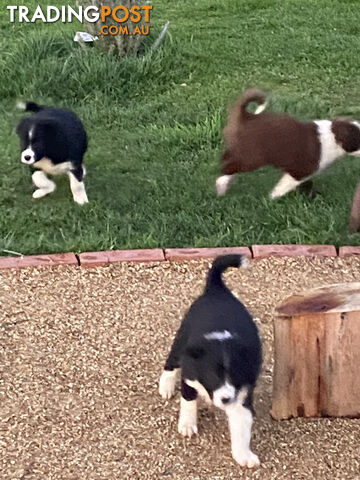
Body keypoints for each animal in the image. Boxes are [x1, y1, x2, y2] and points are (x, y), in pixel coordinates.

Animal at [158, 255, 262, 468]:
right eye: (214, 376)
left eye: (236, 377)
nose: (225, 400)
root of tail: (217, 288)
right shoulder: (189, 376)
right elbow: (188, 401)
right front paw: (187, 425)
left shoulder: (241, 395)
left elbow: (242, 426)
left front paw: (244, 455)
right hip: (181, 341)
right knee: (171, 363)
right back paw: (166, 387)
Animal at [215, 87, 360, 198]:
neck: (334, 136)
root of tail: (246, 117)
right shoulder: (301, 170)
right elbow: (284, 186)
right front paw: (272, 198)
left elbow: (305, 184)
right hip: (252, 157)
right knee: (228, 167)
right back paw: (221, 186)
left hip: (242, 150)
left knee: (227, 158)